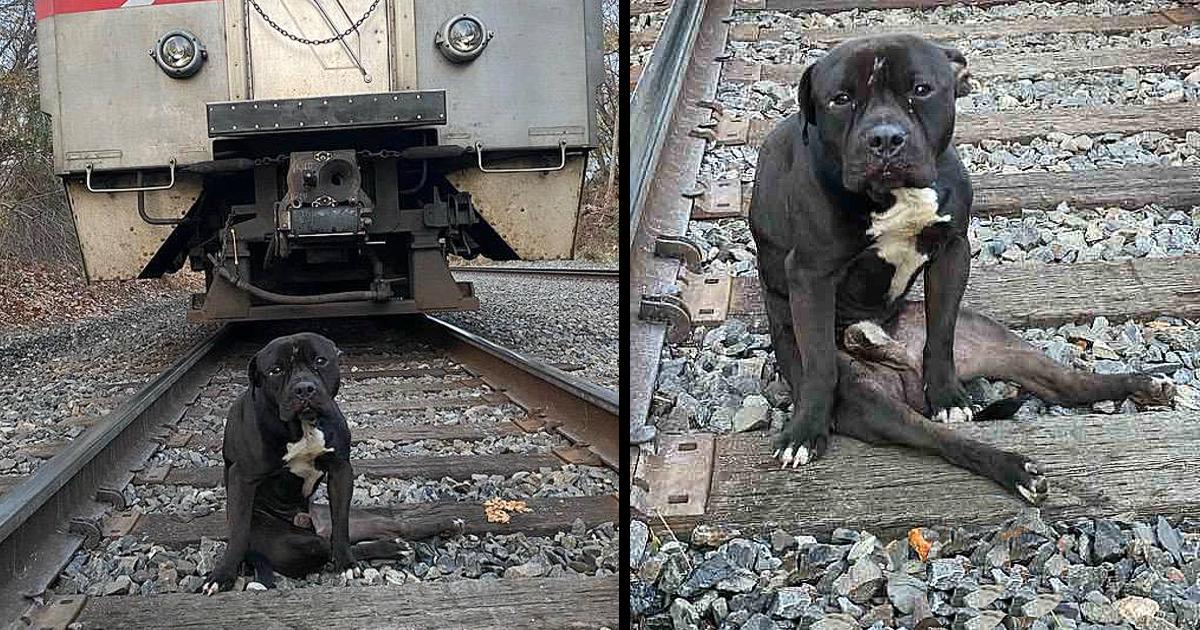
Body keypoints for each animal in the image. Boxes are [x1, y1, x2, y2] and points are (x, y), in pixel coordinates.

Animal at [201, 331, 408, 592]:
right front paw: (222, 575)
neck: (303, 426)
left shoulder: (340, 470)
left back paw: (392, 546)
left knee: (338, 538)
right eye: (276, 370)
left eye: (320, 361)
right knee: (321, 546)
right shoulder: (243, 477)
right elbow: (238, 533)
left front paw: (346, 563)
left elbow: (341, 524)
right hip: (291, 547)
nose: (304, 388)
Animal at [748, 34, 1171, 504]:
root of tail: (895, 354)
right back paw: (1015, 469)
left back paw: (1140, 385)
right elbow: (820, 359)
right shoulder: (811, 276)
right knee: (937, 437)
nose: (885, 138)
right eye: (840, 99)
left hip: (1003, 344)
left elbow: (942, 331)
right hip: (869, 401)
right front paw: (805, 431)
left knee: (1066, 384)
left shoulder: (953, 252)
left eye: (921, 90)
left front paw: (947, 393)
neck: (897, 195)